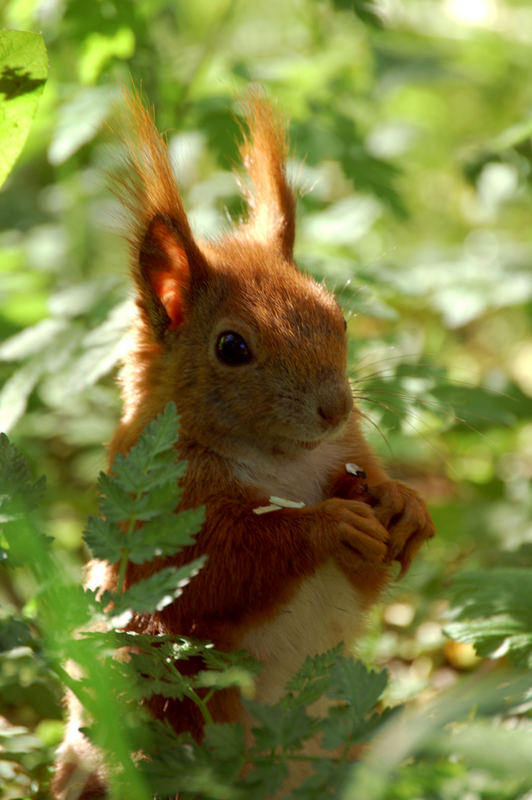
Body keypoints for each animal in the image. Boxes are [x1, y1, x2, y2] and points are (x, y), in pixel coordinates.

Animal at [53, 89, 436, 792]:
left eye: (338, 318)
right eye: (232, 347)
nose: (335, 408)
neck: (282, 462)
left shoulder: (351, 456)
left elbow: (367, 574)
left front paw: (405, 505)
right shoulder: (159, 515)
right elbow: (223, 568)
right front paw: (328, 525)